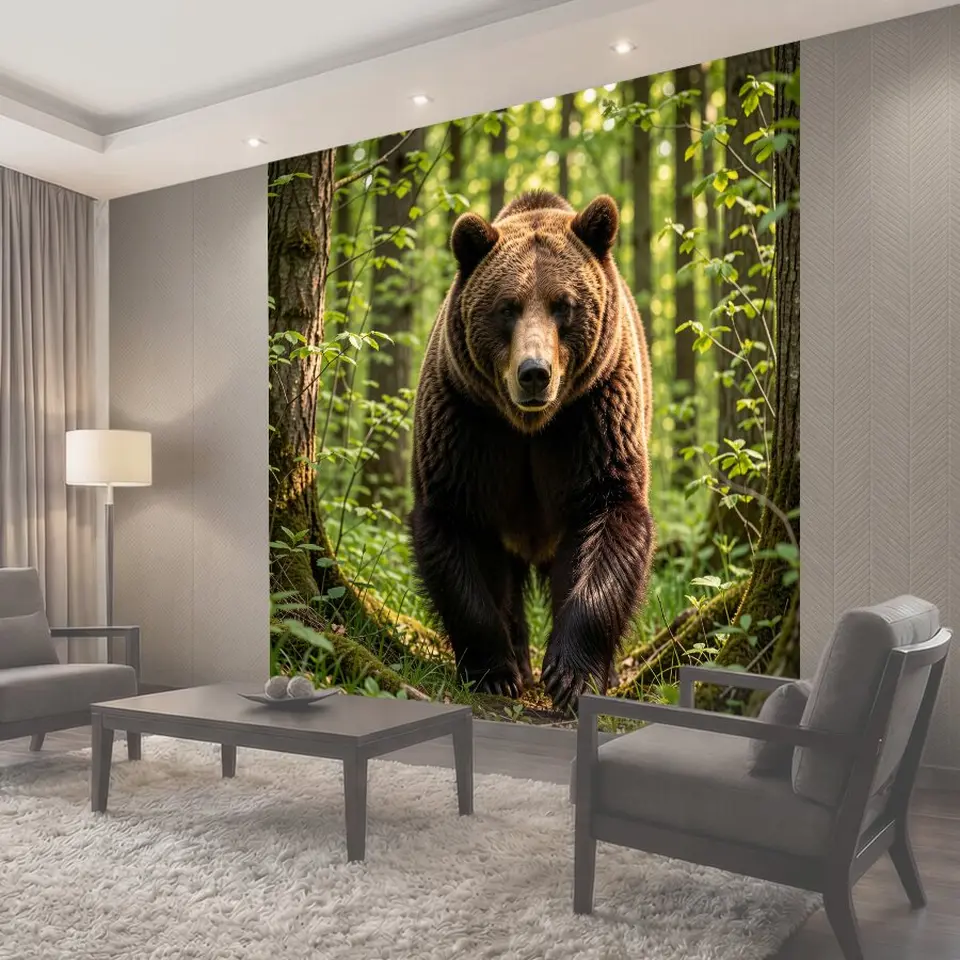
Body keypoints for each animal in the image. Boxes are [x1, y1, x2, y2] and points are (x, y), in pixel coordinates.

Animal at [408, 190, 655, 712]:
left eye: (563, 305)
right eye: (508, 307)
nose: (534, 373)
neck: (530, 427)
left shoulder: (594, 415)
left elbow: (610, 518)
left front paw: (572, 675)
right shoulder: (468, 421)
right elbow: (457, 526)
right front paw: (495, 671)